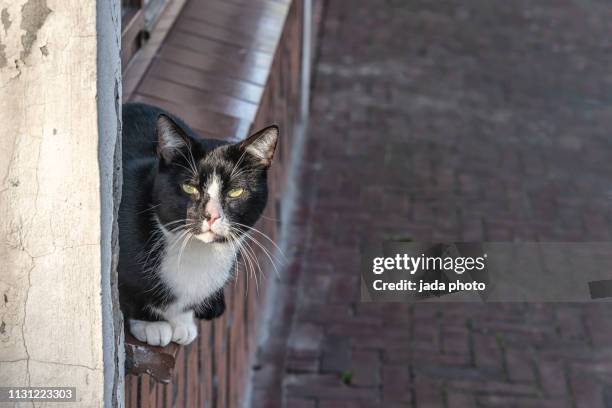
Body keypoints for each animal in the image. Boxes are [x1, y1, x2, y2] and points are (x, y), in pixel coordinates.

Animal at [117, 103, 280, 346]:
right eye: (189, 187)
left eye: (235, 191)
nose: (211, 215)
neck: (198, 252)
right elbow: (129, 290)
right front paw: (151, 324)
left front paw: (183, 322)